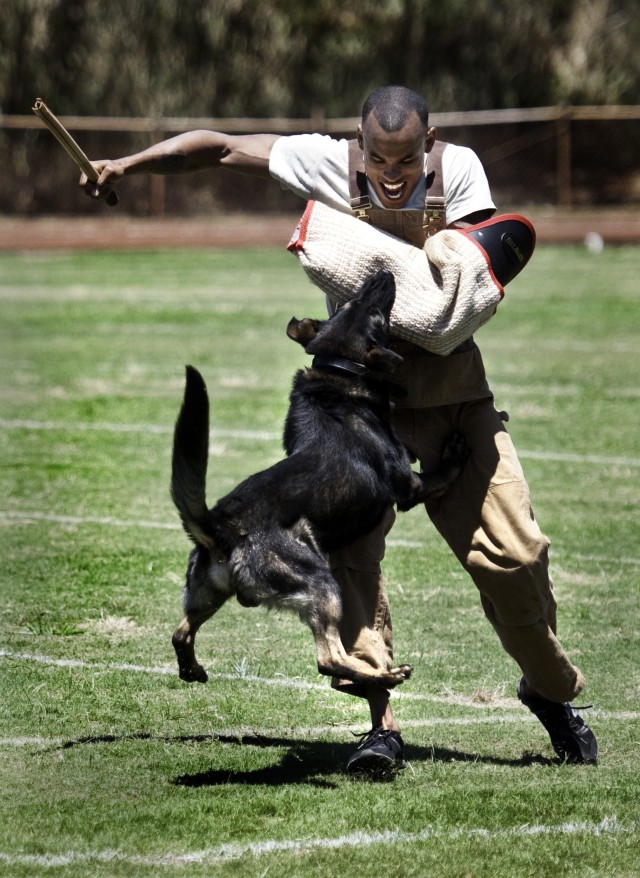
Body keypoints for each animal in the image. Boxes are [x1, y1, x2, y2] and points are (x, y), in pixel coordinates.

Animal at [170, 272, 470, 692]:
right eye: (376, 314)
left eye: (354, 302)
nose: (382, 275)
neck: (338, 370)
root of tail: (221, 529)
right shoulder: (409, 485)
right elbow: (441, 472)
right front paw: (456, 453)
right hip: (321, 584)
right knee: (329, 660)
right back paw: (387, 675)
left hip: (207, 593)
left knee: (180, 633)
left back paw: (192, 670)